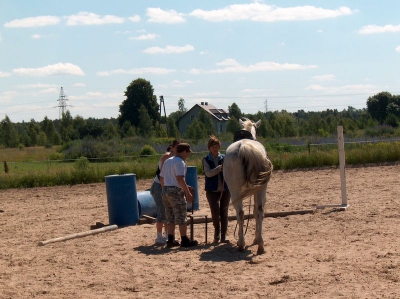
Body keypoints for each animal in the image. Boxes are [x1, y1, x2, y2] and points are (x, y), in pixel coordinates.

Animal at [223, 118, 274, 254]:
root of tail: (244, 147)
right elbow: (256, 211)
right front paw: (256, 239)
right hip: (260, 188)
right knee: (259, 210)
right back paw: (260, 245)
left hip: (235, 191)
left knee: (241, 213)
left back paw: (242, 243)